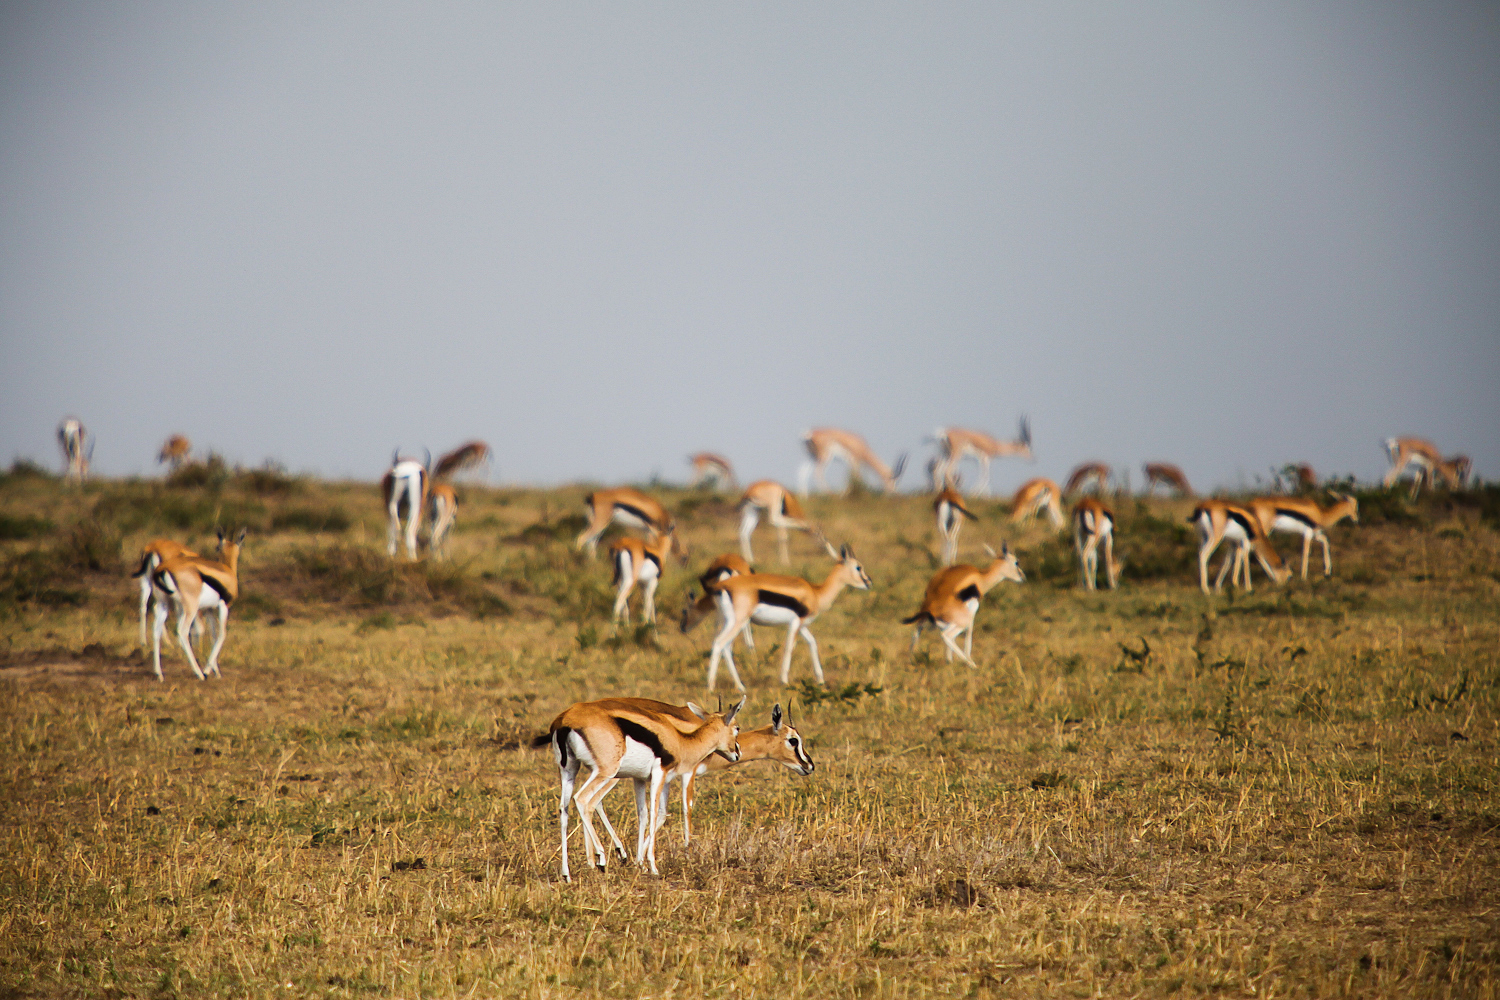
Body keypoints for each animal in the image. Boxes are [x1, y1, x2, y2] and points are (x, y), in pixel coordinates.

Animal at [149, 529, 245, 681]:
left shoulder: (208, 610)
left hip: (164, 604)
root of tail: (164, 569)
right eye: (217, 547)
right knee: (182, 631)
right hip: (190, 608)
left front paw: (216, 671)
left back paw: (159, 674)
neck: (227, 571)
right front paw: (207, 670)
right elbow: (222, 634)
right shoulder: (223, 607)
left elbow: (213, 636)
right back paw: (199, 673)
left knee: (156, 630)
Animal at [531, 697, 743, 880]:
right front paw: (653, 866)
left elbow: (644, 814)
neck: (679, 740)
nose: (737, 753)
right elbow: (656, 813)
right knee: (583, 800)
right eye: (737, 728)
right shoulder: (659, 774)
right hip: (606, 773)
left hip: (569, 770)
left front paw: (639, 863)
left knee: (564, 808)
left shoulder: (640, 779)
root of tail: (564, 721)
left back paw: (567, 874)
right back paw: (601, 859)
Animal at [587, 702, 814, 852]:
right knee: (593, 800)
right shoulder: (689, 772)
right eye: (793, 740)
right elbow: (686, 808)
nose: (809, 765)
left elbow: (661, 813)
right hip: (614, 772)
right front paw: (687, 848)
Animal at [704, 543, 872, 691]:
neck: (815, 592)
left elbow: (812, 643)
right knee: (720, 643)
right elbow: (789, 648)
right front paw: (784, 681)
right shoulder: (796, 623)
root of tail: (722, 586)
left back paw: (739, 686)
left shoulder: (802, 625)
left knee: (725, 647)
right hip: (739, 622)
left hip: (726, 621)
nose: (869, 582)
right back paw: (711, 687)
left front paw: (820, 680)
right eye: (858, 567)